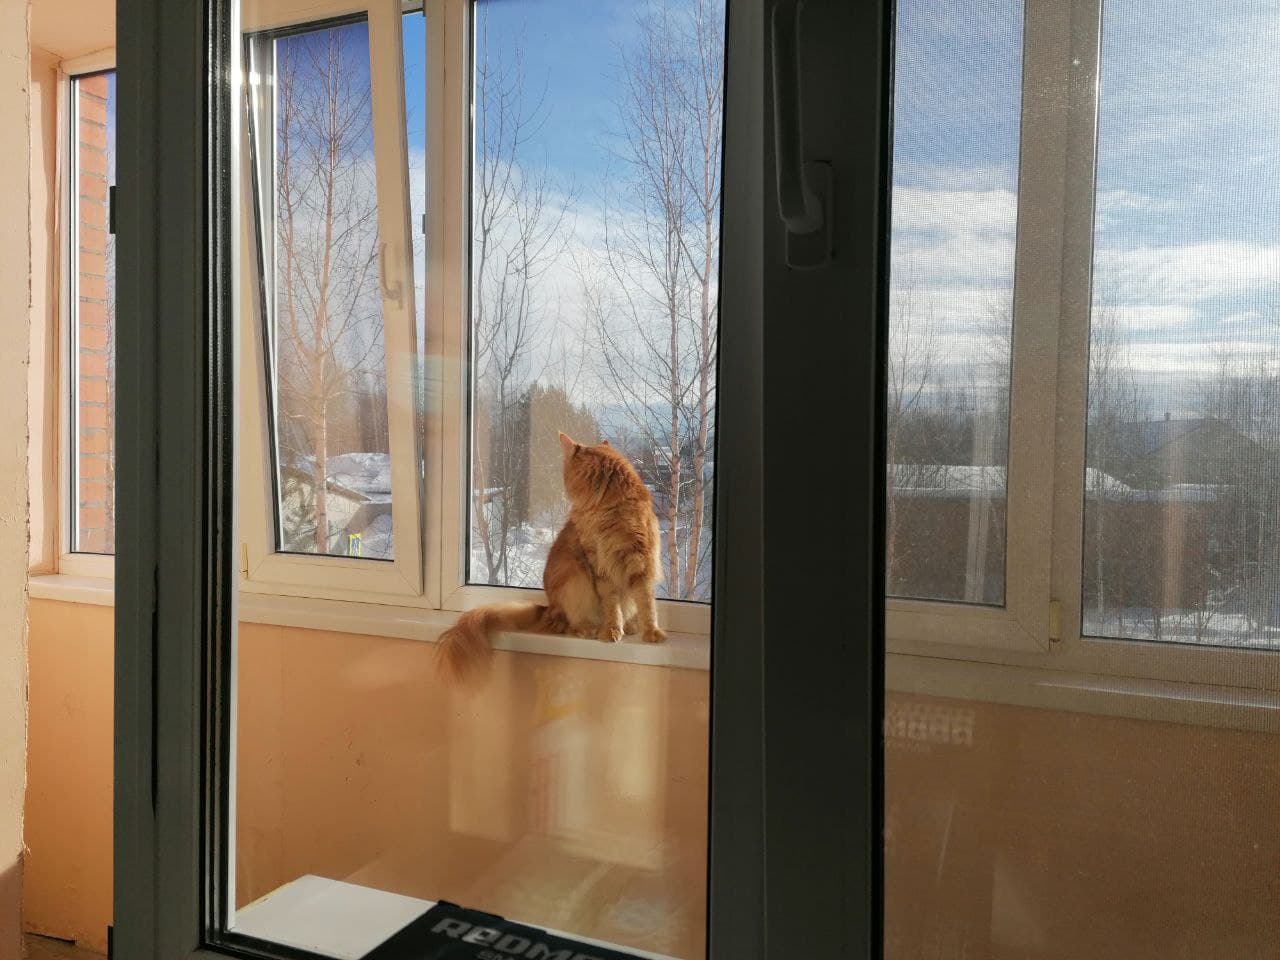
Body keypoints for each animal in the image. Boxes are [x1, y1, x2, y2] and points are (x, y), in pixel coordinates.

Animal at [435, 432, 667, 684]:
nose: (564, 486)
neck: (610, 511)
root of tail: (548, 607)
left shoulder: (641, 562)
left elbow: (647, 604)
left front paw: (651, 632)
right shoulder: (599, 566)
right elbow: (612, 606)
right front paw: (612, 631)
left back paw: (630, 626)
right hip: (575, 577)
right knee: (570, 626)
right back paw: (591, 630)